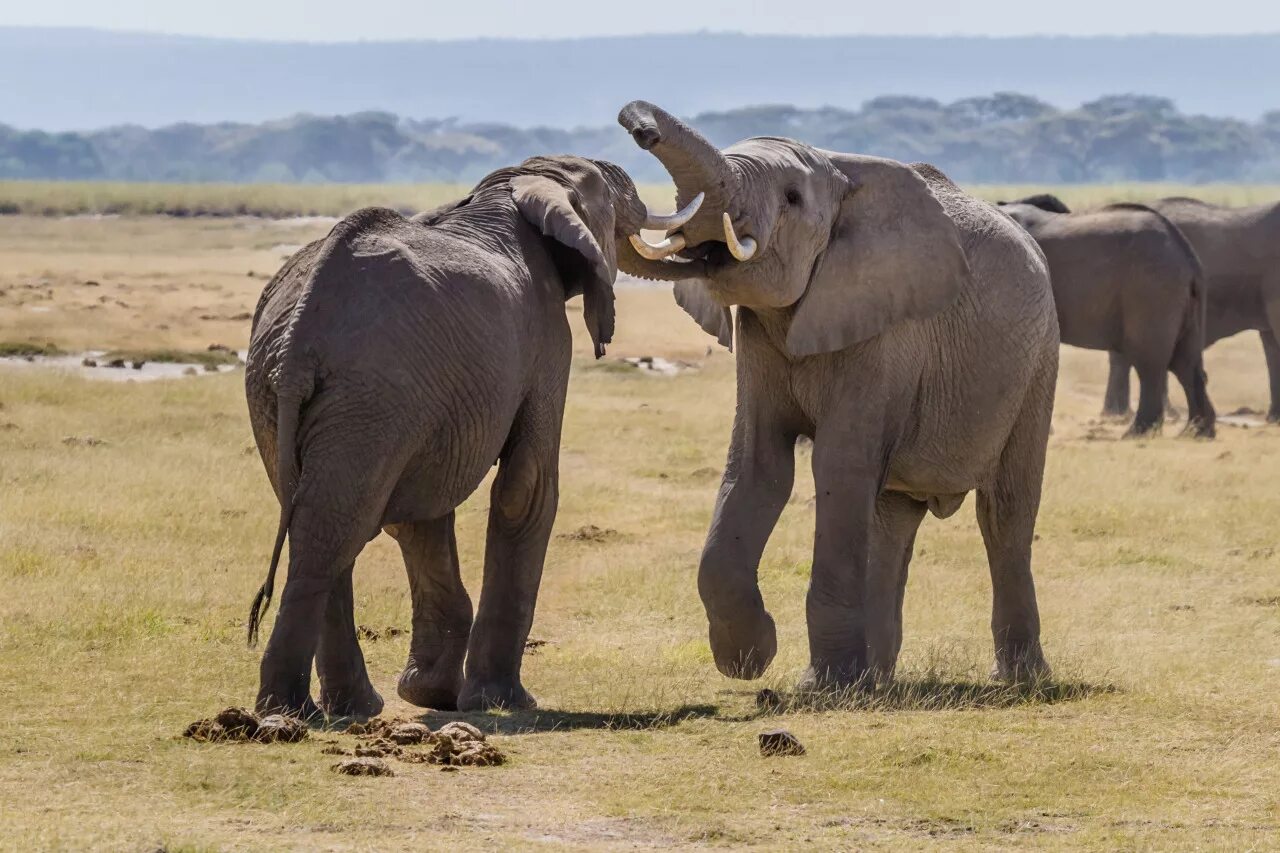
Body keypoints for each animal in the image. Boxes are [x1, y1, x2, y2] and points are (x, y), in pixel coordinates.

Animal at [244, 154, 696, 717]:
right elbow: (526, 487)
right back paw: (291, 712)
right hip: (372, 392)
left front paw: (430, 694)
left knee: (324, 517)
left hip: (284, 389)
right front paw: (502, 700)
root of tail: (302, 325)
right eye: (610, 196)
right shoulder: (548, 339)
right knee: (334, 527)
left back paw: (346, 708)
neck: (511, 188)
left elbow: (423, 513)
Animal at [609, 99, 1059, 686]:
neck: (836, 171)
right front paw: (751, 660)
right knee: (892, 519)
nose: (635, 120)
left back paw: (1019, 680)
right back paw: (877, 682)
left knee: (1004, 512)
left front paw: (822, 686)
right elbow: (757, 466)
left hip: (1037, 361)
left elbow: (838, 467)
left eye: (792, 198)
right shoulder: (758, 336)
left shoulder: (885, 334)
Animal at [993, 199, 1213, 438]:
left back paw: (1138, 433)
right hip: (1178, 298)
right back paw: (1198, 432)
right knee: (1186, 363)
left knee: (1150, 363)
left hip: (1151, 291)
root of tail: (1189, 257)